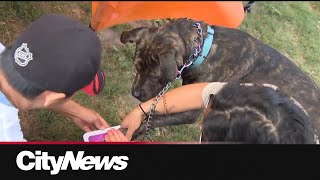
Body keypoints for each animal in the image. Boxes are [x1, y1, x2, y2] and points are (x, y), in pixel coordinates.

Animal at [120, 17, 320, 139]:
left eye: (154, 75)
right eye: (137, 67)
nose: (135, 93)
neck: (203, 49)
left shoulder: (191, 112)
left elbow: (155, 119)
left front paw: (133, 131)